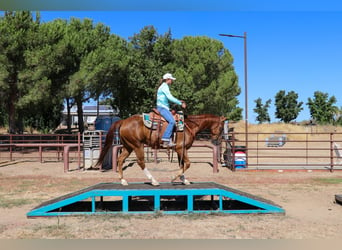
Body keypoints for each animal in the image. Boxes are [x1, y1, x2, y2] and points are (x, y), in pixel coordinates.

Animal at [95, 113, 227, 186]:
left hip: (128, 146)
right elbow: (188, 164)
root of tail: (124, 121)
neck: (189, 126)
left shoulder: (180, 150)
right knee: (140, 162)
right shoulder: (181, 149)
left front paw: (183, 180)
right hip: (137, 146)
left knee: (120, 160)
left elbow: (182, 165)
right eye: (221, 127)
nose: (216, 141)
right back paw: (153, 180)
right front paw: (174, 177)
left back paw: (123, 181)